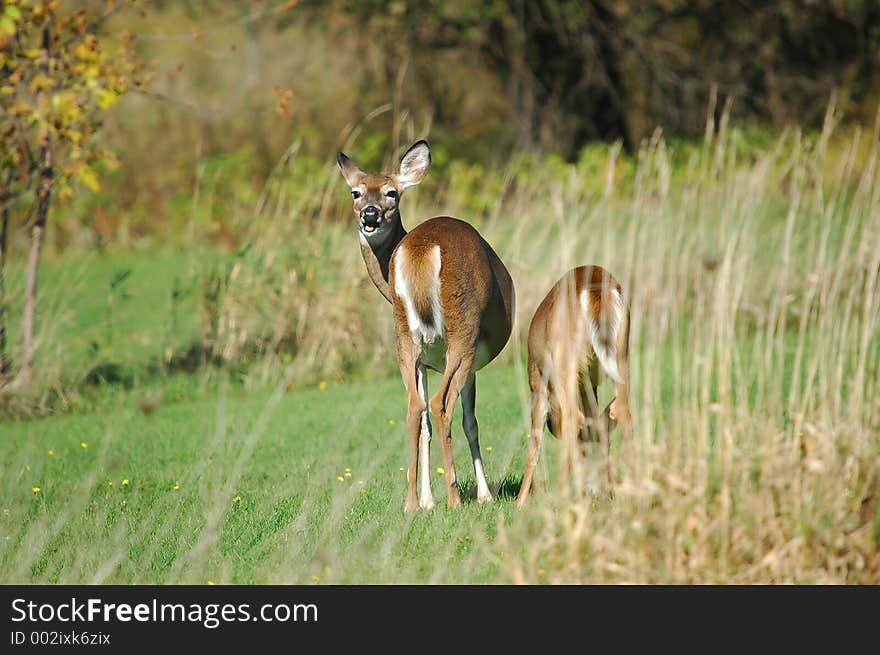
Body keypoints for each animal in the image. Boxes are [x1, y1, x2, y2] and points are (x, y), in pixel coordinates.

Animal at [336, 141, 516, 516]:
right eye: (355, 192)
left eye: (391, 192)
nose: (370, 215)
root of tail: (421, 249)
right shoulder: (469, 360)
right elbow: (470, 422)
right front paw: (483, 495)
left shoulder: (424, 358)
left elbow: (426, 426)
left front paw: (427, 500)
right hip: (463, 331)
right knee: (439, 404)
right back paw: (455, 497)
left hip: (404, 337)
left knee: (414, 408)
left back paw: (410, 503)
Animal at [516, 264, 632, 510]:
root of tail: (595, 285)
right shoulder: (589, 387)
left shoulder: (539, 386)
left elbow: (534, 445)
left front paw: (519, 502)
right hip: (622, 356)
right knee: (620, 410)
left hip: (564, 365)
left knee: (573, 418)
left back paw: (563, 497)